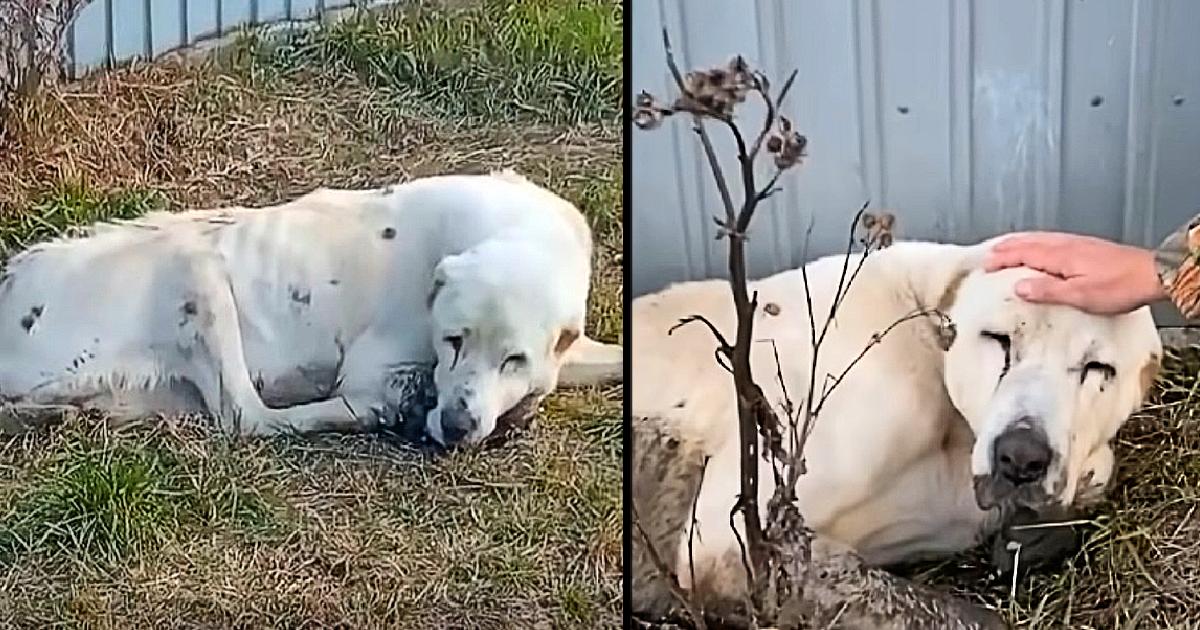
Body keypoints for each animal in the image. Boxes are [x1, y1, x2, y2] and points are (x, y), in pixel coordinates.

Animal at [0, 169, 619, 444]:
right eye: (453, 341)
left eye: (514, 359)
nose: (456, 424)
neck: (522, 231)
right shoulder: (374, 370)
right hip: (195, 264)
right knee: (248, 417)